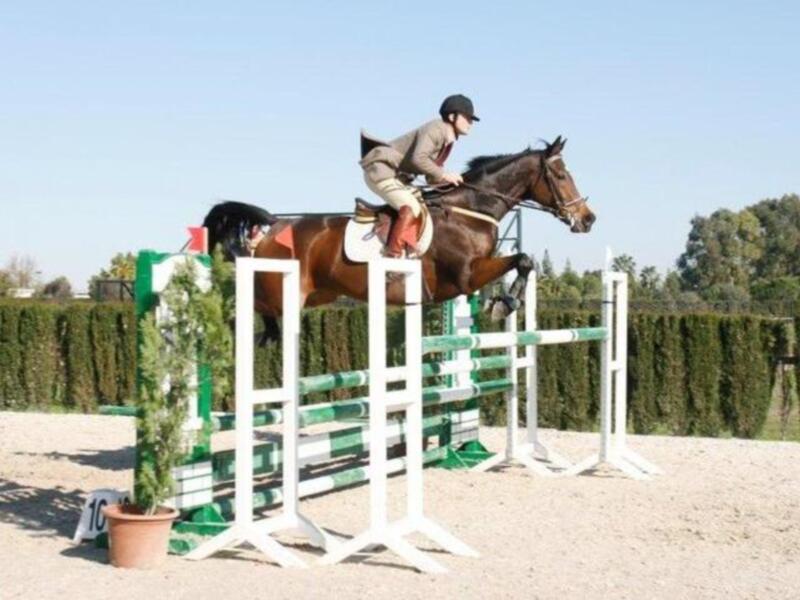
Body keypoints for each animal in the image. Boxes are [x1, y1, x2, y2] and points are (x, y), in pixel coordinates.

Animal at [203, 136, 594, 342]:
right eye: (561, 175)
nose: (587, 219)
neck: (470, 210)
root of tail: (270, 230)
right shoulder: (465, 277)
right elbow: (522, 259)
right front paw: (503, 304)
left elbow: (524, 261)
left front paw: (505, 302)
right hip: (283, 289)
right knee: (249, 305)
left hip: (316, 294)